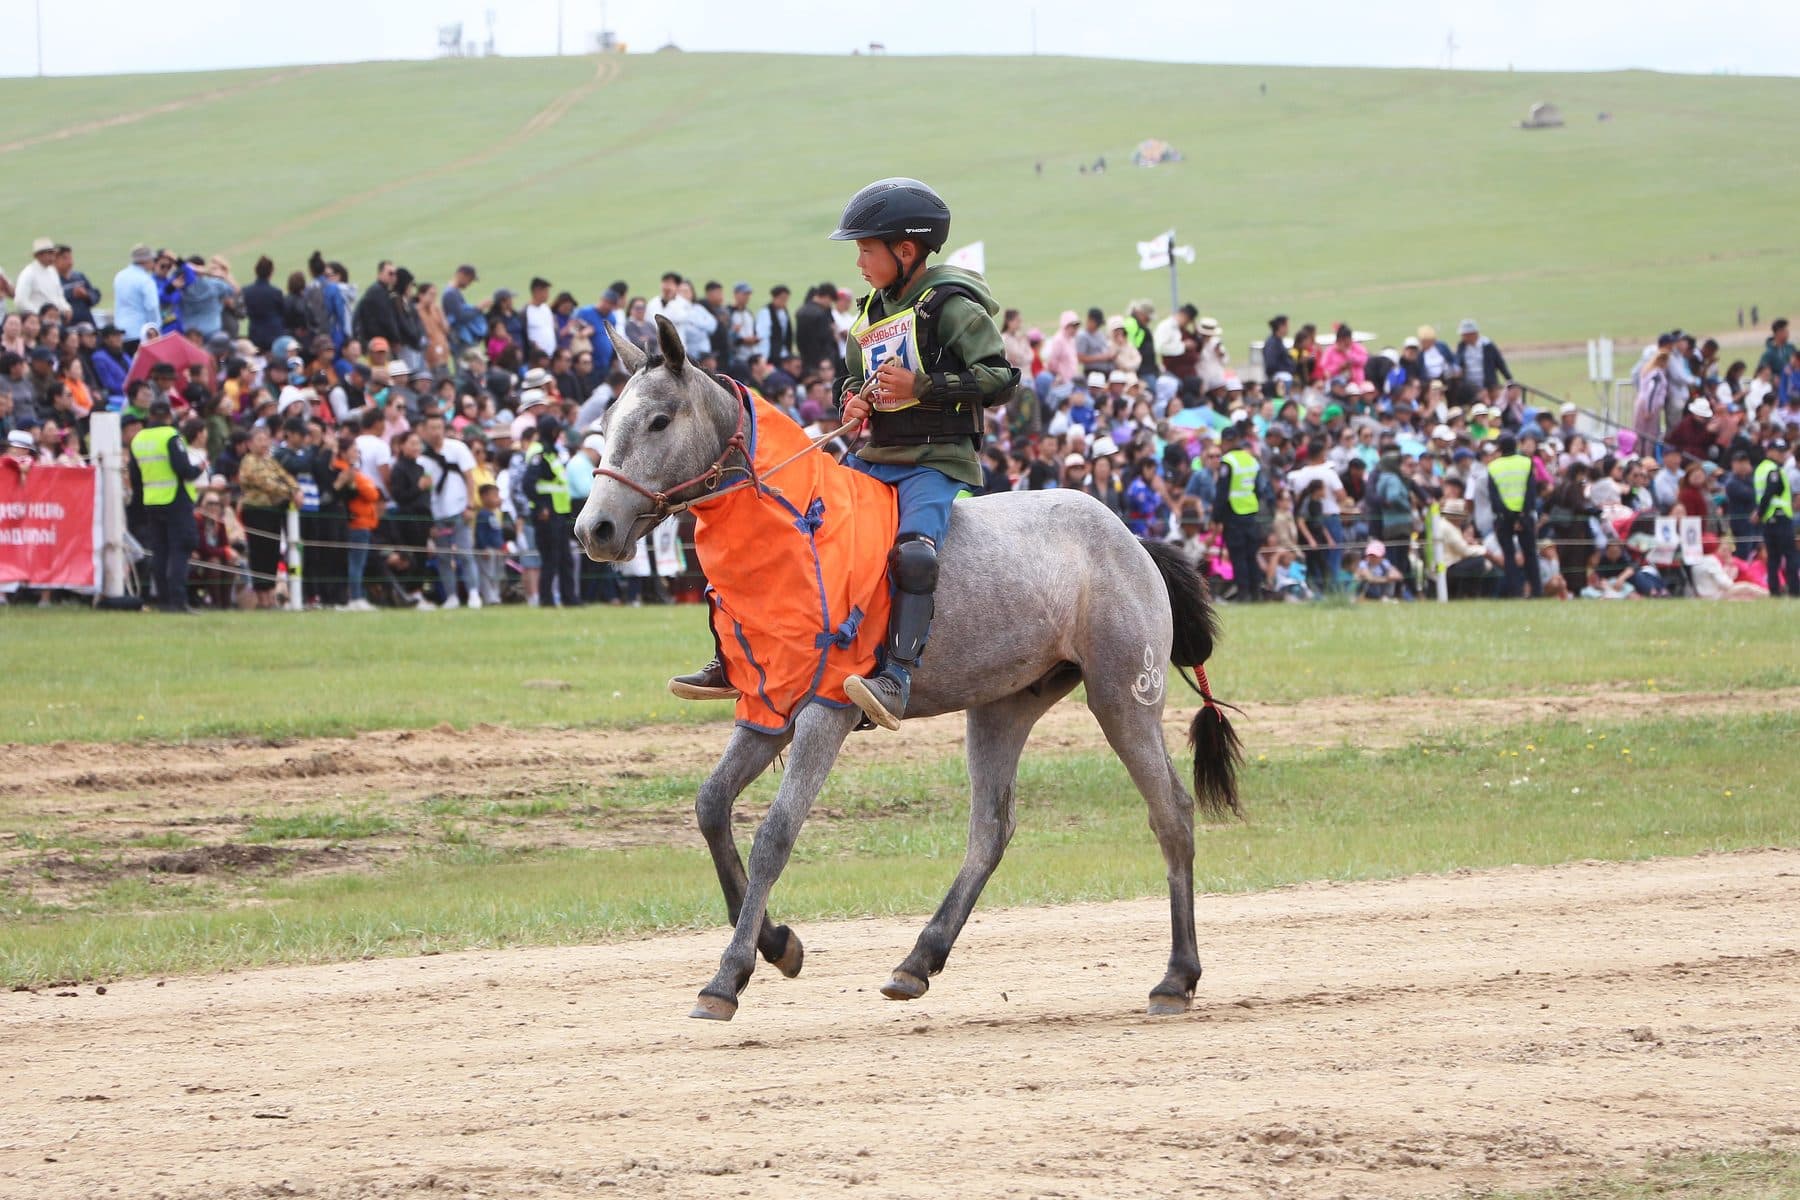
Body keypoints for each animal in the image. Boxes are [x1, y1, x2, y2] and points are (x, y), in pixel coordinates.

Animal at [575, 315, 1241, 1020]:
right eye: (610, 416)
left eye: (659, 420)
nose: (595, 528)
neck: (796, 530)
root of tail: (1130, 539)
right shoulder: (767, 711)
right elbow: (710, 808)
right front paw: (775, 943)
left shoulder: (826, 712)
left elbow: (775, 835)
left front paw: (728, 975)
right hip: (1003, 706)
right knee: (991, 830)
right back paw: (919, 959)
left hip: (1122, 697)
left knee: (1170, 812)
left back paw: (1177, 975)